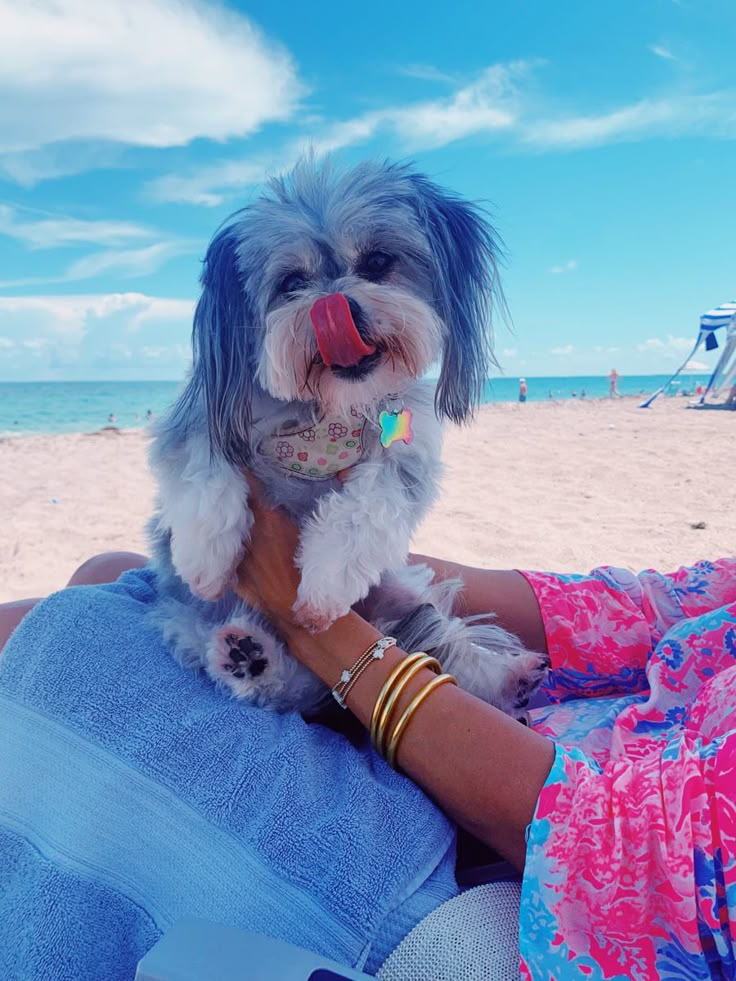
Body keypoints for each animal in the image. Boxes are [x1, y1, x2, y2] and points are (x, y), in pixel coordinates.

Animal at [148, 157, 548, 716]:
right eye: (291, 282)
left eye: (378, 261)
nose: (341, 309)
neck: (329, 407)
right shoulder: (207, 415)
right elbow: (204, 474)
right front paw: (206, 557)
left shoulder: (403, 452)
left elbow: (365, 509)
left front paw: (322, 586)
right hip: (190, 620)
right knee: (285, 679)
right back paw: (248, 658)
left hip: (403, 591)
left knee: (443, 641)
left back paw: (507, 674)